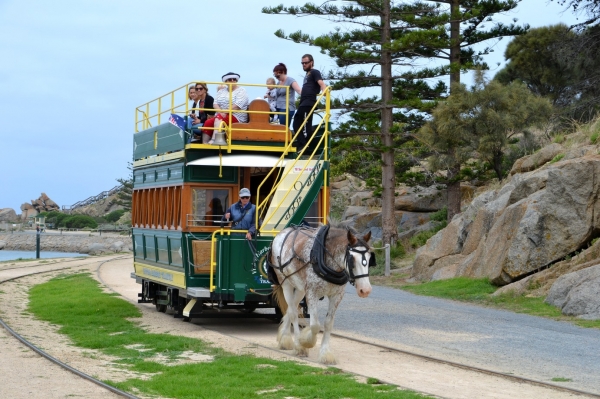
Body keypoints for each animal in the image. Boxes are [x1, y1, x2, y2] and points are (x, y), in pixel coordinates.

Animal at [270, 225, 372, 366]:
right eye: (352, 260)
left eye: (369, 258)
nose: (365, 290)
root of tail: (283, 232)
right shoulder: (312, 293)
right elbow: (315, 325)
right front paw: (304, 341)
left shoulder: (336, 296)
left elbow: (328, 324)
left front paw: (325, 354)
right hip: (286, 283)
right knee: (293, 313)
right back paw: (298, 345)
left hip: (300, 288)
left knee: (292, 309)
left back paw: (284, 338)